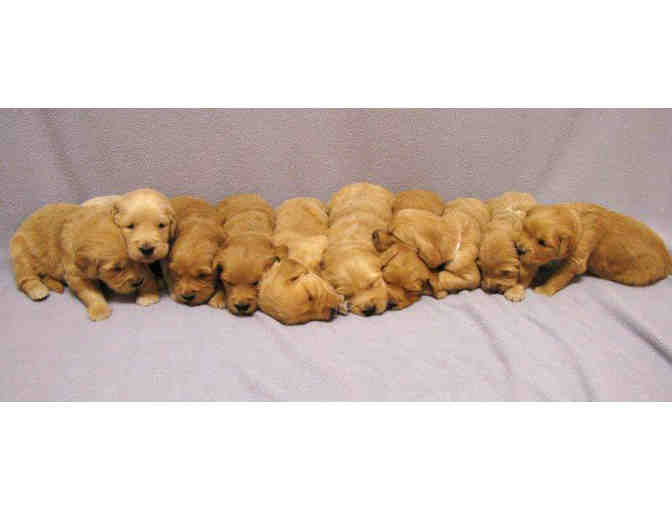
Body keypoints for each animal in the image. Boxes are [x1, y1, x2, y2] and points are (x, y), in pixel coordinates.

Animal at [10, 203, 157, 321]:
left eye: (137, 262)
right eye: (116, 269)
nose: (138, 282)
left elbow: (147, 275)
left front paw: (148, 291)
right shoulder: (76, 275)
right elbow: (90, 293)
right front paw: (100, 310)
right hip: (20, 251)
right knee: (25, 277)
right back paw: (37, 289)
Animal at [516, 202, 672, 296]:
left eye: (542, 242)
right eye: (523, 228)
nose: (518, 249)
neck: (579, 221)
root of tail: (667, 260)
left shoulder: (576, 260)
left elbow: (559, 276)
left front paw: (544, 290)